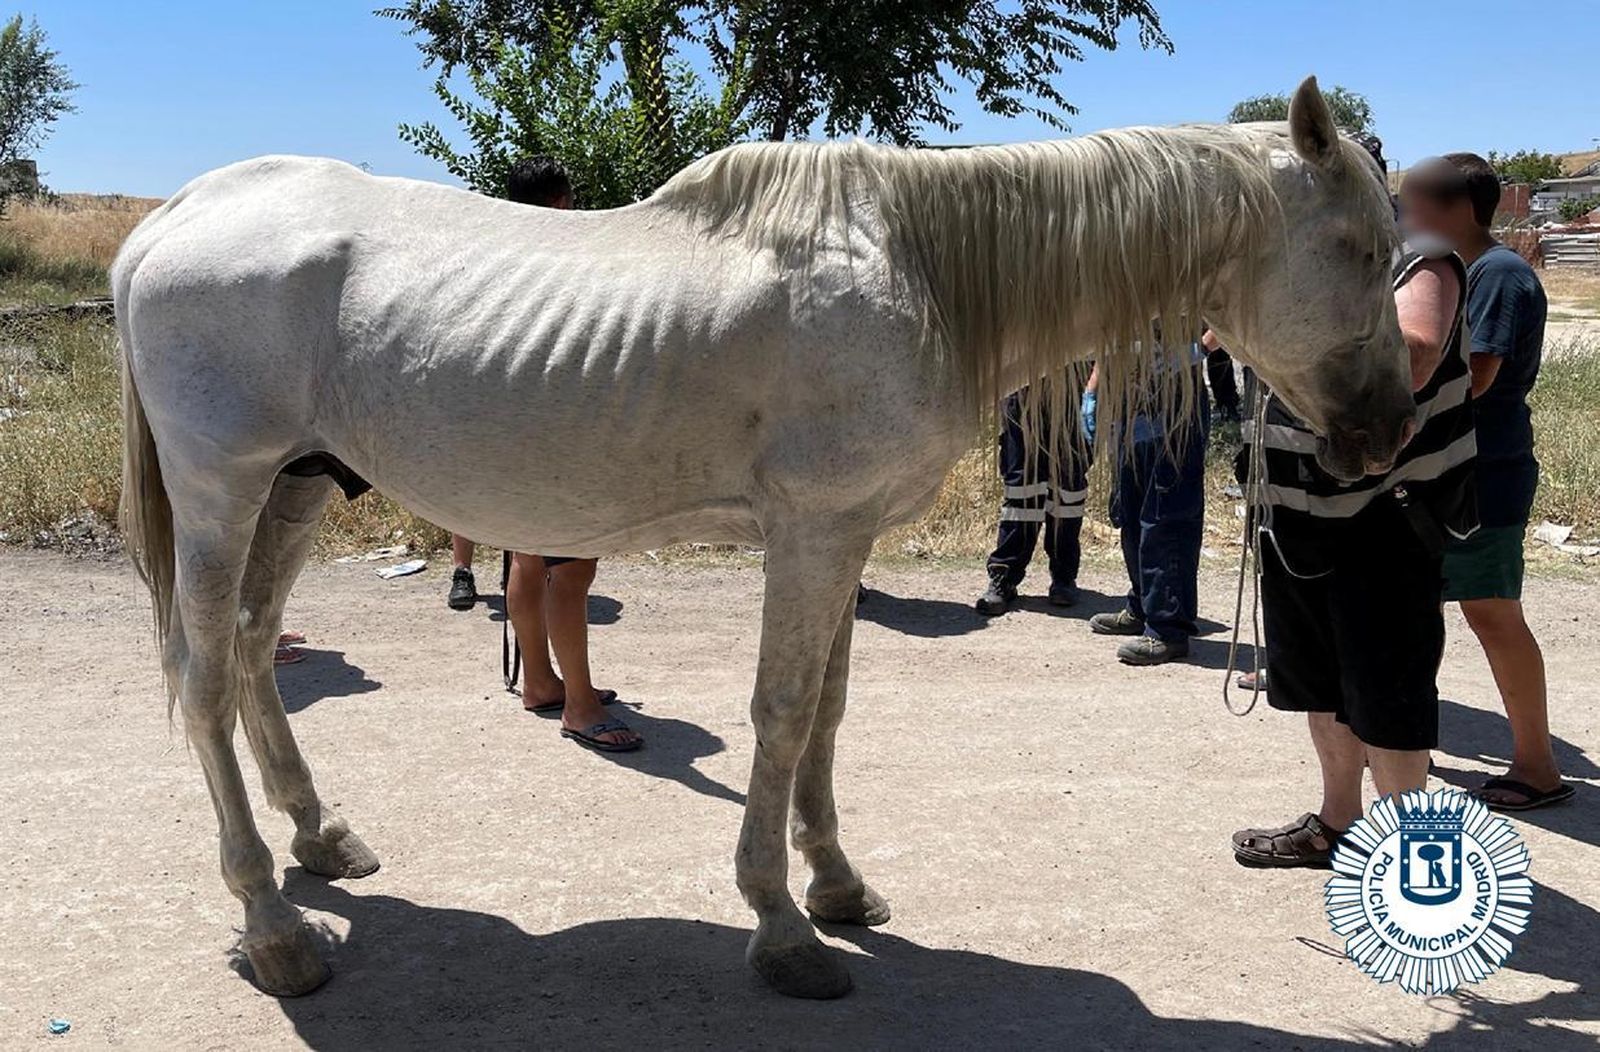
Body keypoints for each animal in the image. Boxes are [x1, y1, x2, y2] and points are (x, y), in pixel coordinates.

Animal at [114, 77, 1409, 1000]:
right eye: (1357, 250)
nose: (1390, 430)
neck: (924, 268)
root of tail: (175, 218)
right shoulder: (813, 533)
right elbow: (781, 715)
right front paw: (783, 927)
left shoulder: (844, 539)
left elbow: (826, 712)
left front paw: (836, 885)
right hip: (224, 491)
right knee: (204, 681)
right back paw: (274, 928)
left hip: (293, 488)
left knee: (250, 647)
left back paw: (319, 838)